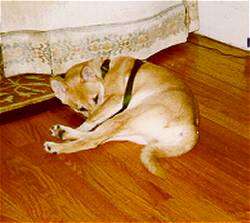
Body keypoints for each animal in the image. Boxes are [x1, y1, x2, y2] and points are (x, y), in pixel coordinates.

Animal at [44, 56, 198, 177]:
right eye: (81, 108)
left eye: (96, 98)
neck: (104, 71)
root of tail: (191, 128)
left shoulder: (114, 99)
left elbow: (91, 121)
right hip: (129, 130)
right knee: (96, 138)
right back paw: (63, 132)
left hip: (125, 116)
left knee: (91, 141)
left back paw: (56, 145)